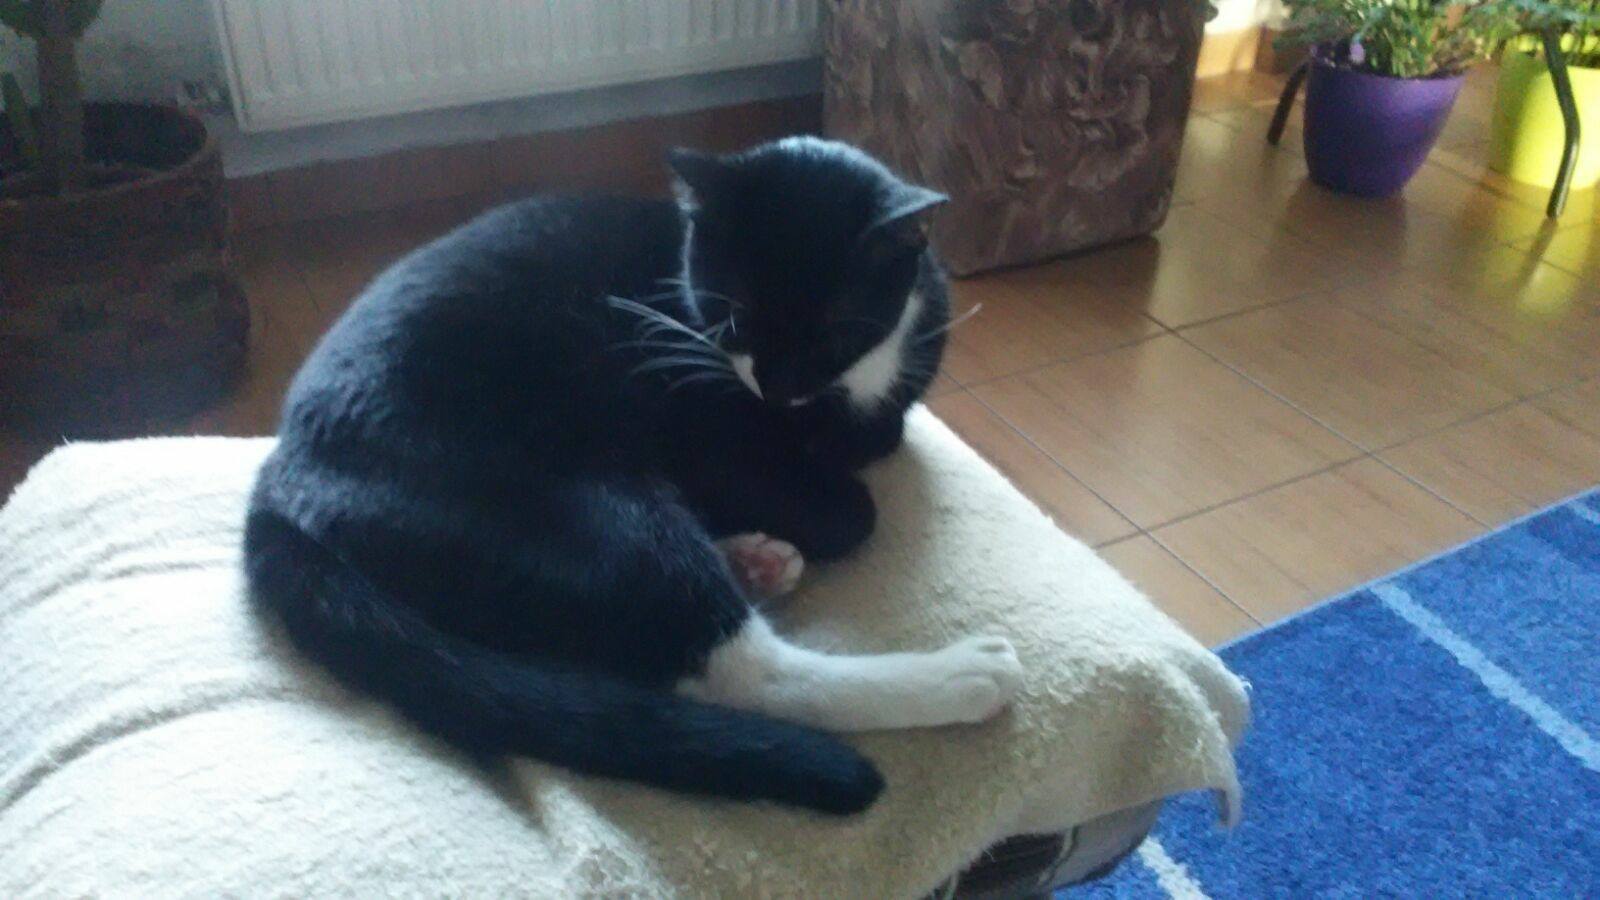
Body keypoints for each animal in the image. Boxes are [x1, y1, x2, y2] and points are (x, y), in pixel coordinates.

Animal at [244, 137, 1022, 816]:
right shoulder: (699, 420)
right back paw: (961, 675)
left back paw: (754, 561)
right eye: (734, 312)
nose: (773, 386)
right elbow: (852, 511)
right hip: (575, 502)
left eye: (835, 324)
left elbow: (880, 438)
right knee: (736, 670)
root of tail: (278, 478)